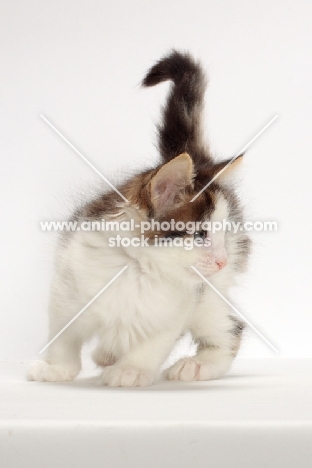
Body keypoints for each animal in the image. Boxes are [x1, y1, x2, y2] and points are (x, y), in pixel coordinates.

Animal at [27, 51, 251, 388]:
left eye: (221, 234)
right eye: (200, 235)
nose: (222, 260)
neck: (136, 268)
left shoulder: (177, 307)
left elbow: (154, 341)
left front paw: (131, 370)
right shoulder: (66, 288)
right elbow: (62, 336)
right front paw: (57, 368)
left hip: (212, 295)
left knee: (232, 328)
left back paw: (198, 365)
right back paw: (107, 353)